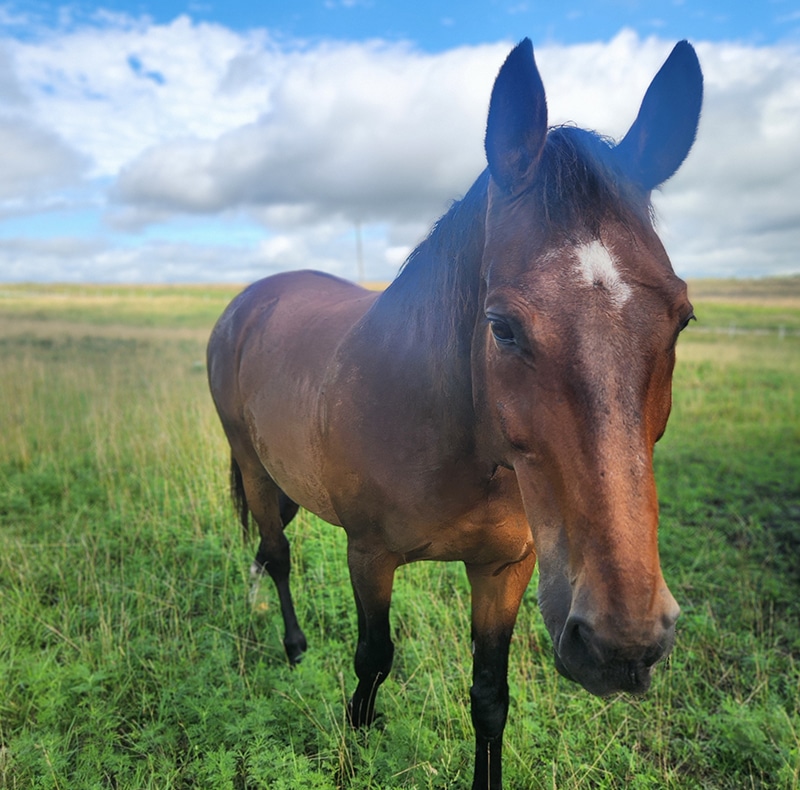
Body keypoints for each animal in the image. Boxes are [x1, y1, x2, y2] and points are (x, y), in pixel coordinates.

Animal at [207, 38, 703, 789]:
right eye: (501, 326)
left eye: (682, 318)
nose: (620, 643)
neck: (458, 441)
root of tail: (252, 299)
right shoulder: (369, 555)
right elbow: (373, 659)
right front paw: (354, 744)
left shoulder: (505, 570)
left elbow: (490, 695)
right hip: (256, 469)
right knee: (277, 554)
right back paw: (293, 650)